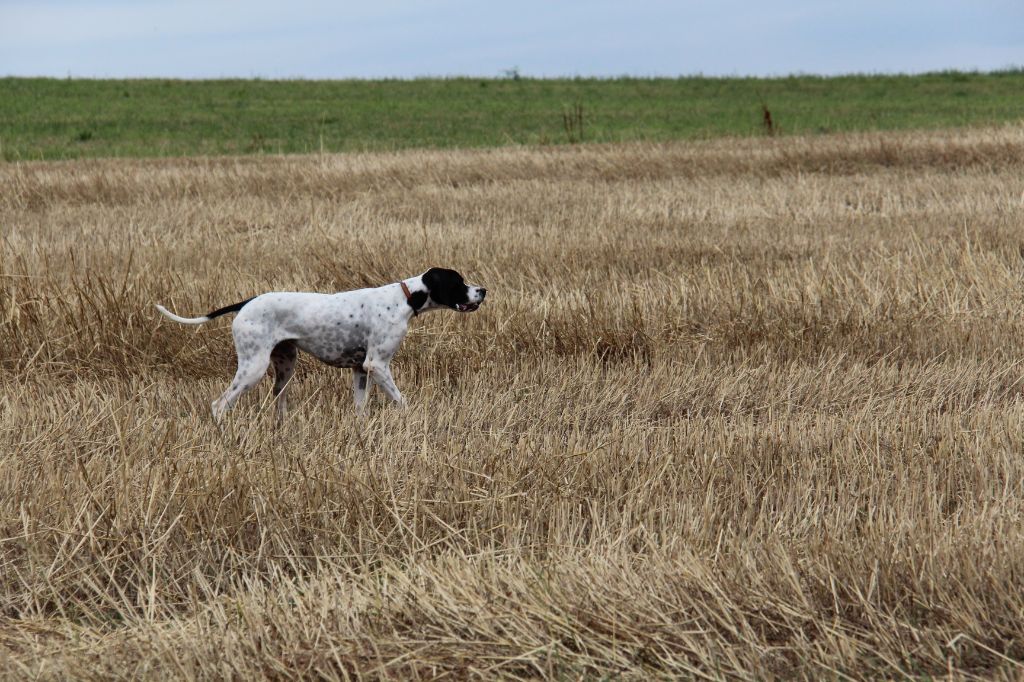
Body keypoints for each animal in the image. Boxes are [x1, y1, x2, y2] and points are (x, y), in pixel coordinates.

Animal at [153, 266, 485, 419]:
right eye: (458, 282)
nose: (483, 290)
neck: (404, 298)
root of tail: (247, 302)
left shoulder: (360, 370)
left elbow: (360, 408)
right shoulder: (377, 365)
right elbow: (401, 401)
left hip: (285, 367)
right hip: (252, 368)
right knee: (219, 404)